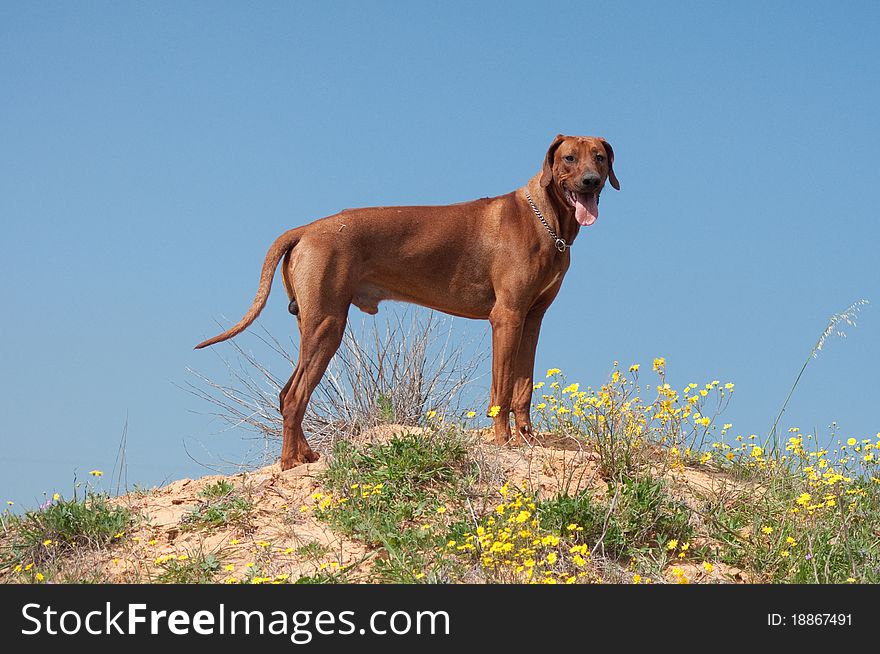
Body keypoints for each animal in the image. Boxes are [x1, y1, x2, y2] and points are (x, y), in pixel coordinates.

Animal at [194, 135, 620, 472]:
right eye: (569, 158)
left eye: (599, 157)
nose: (591, 181)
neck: (545, 219)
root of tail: (305, 229)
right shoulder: (507, 317)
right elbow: (501, 391)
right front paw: (503, 441)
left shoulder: (533, 318)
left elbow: (523, 388)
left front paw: (528, 440)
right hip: (328, 325)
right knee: (296, 395)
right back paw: (289, 463)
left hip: (313, 324)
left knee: (287, 394)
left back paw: (306, 456)